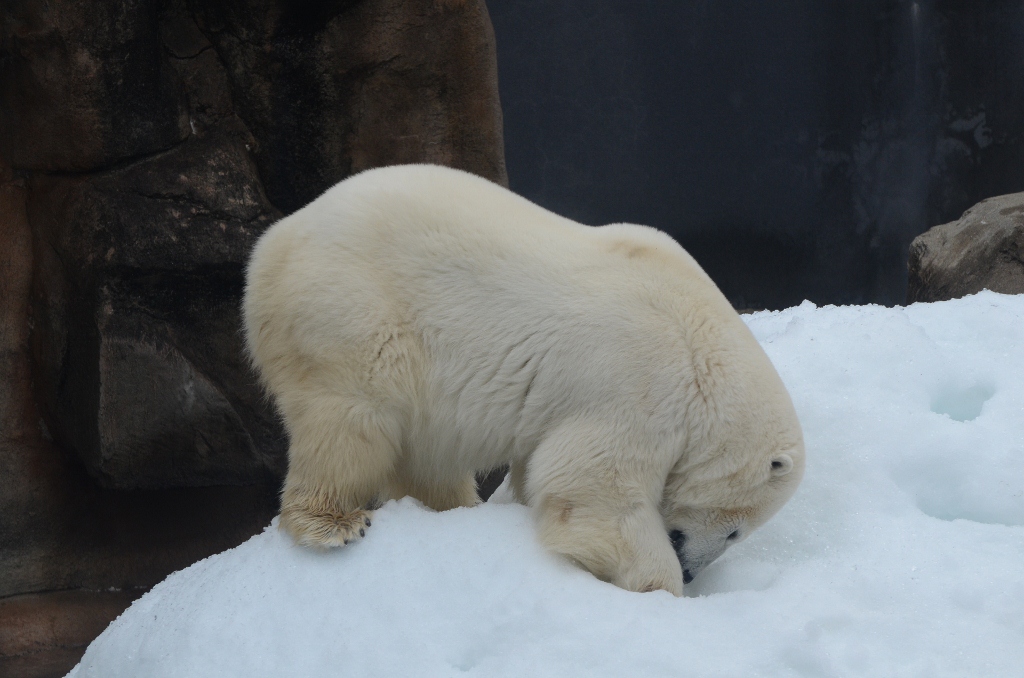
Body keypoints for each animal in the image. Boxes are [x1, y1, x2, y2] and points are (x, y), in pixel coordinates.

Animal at [243, 164, 802, 594]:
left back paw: (455, 507)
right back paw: (332, 523)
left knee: (427, 451)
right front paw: (657, 587)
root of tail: (270, 248)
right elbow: (594, 491)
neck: (702, 350)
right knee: (351, 420)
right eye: (736, 531)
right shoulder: (640, 385)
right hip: (351, 313)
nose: (691, 572)